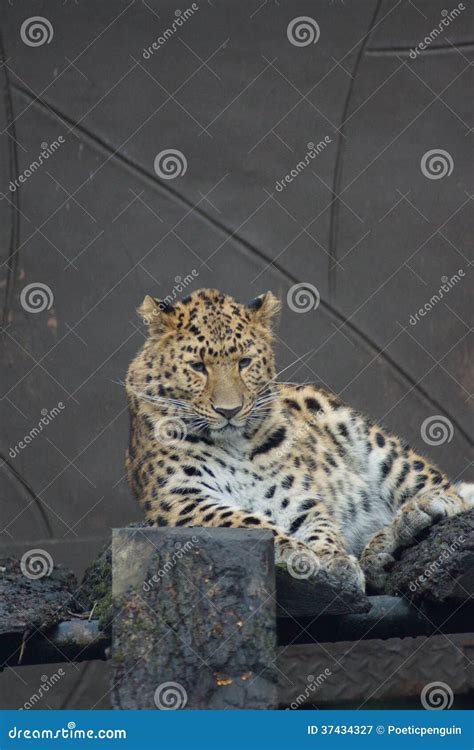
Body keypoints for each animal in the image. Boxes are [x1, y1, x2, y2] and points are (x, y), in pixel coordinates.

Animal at [125, 288, 470, 592]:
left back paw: (411, 517)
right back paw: (381, 551)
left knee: (450, 492)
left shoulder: (294, 494)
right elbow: (247, 521)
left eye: (244, 362)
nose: (229, 410)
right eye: (197, 366)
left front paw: (333, 559)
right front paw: (298, 552)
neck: (232, 444)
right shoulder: (182, 500)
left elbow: (317, 522)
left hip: (375, 444)